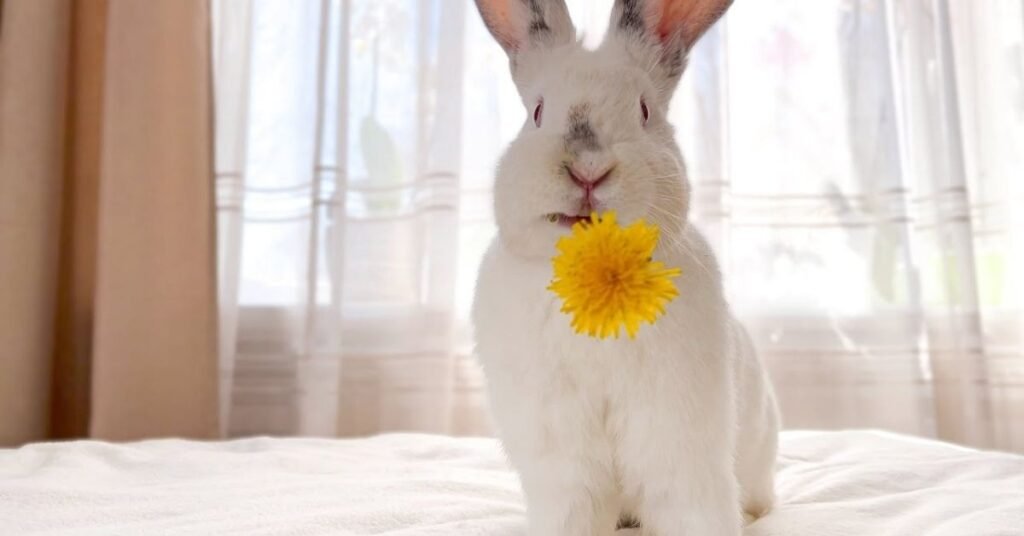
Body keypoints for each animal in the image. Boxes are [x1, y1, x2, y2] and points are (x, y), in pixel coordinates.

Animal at [470, 1, 779, 535]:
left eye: (644, 110)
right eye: (537, 112)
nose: (588, 169)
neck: (597, 272)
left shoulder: (678, 439)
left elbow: (690, 504)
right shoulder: (562, 458)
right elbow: (572, 509)